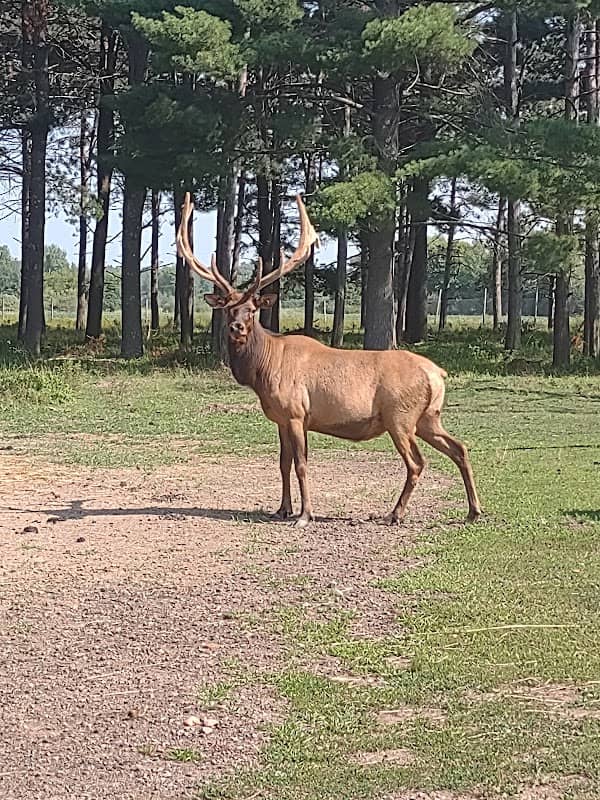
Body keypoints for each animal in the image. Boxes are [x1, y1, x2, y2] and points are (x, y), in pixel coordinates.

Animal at [177, 192, 481, 528]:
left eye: (253, 309)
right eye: (229, 308)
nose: (237, 328)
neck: (263, 371)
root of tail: (437, 373)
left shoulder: (297, 413)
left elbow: (301, 465)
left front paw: (304, 515)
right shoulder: (281, 419)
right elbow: (282, 463)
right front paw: (282, 509)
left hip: (400, 416)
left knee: (417, 462)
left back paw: (395, 513)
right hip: (428, 417)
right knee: (460, 447)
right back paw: (473, 511)